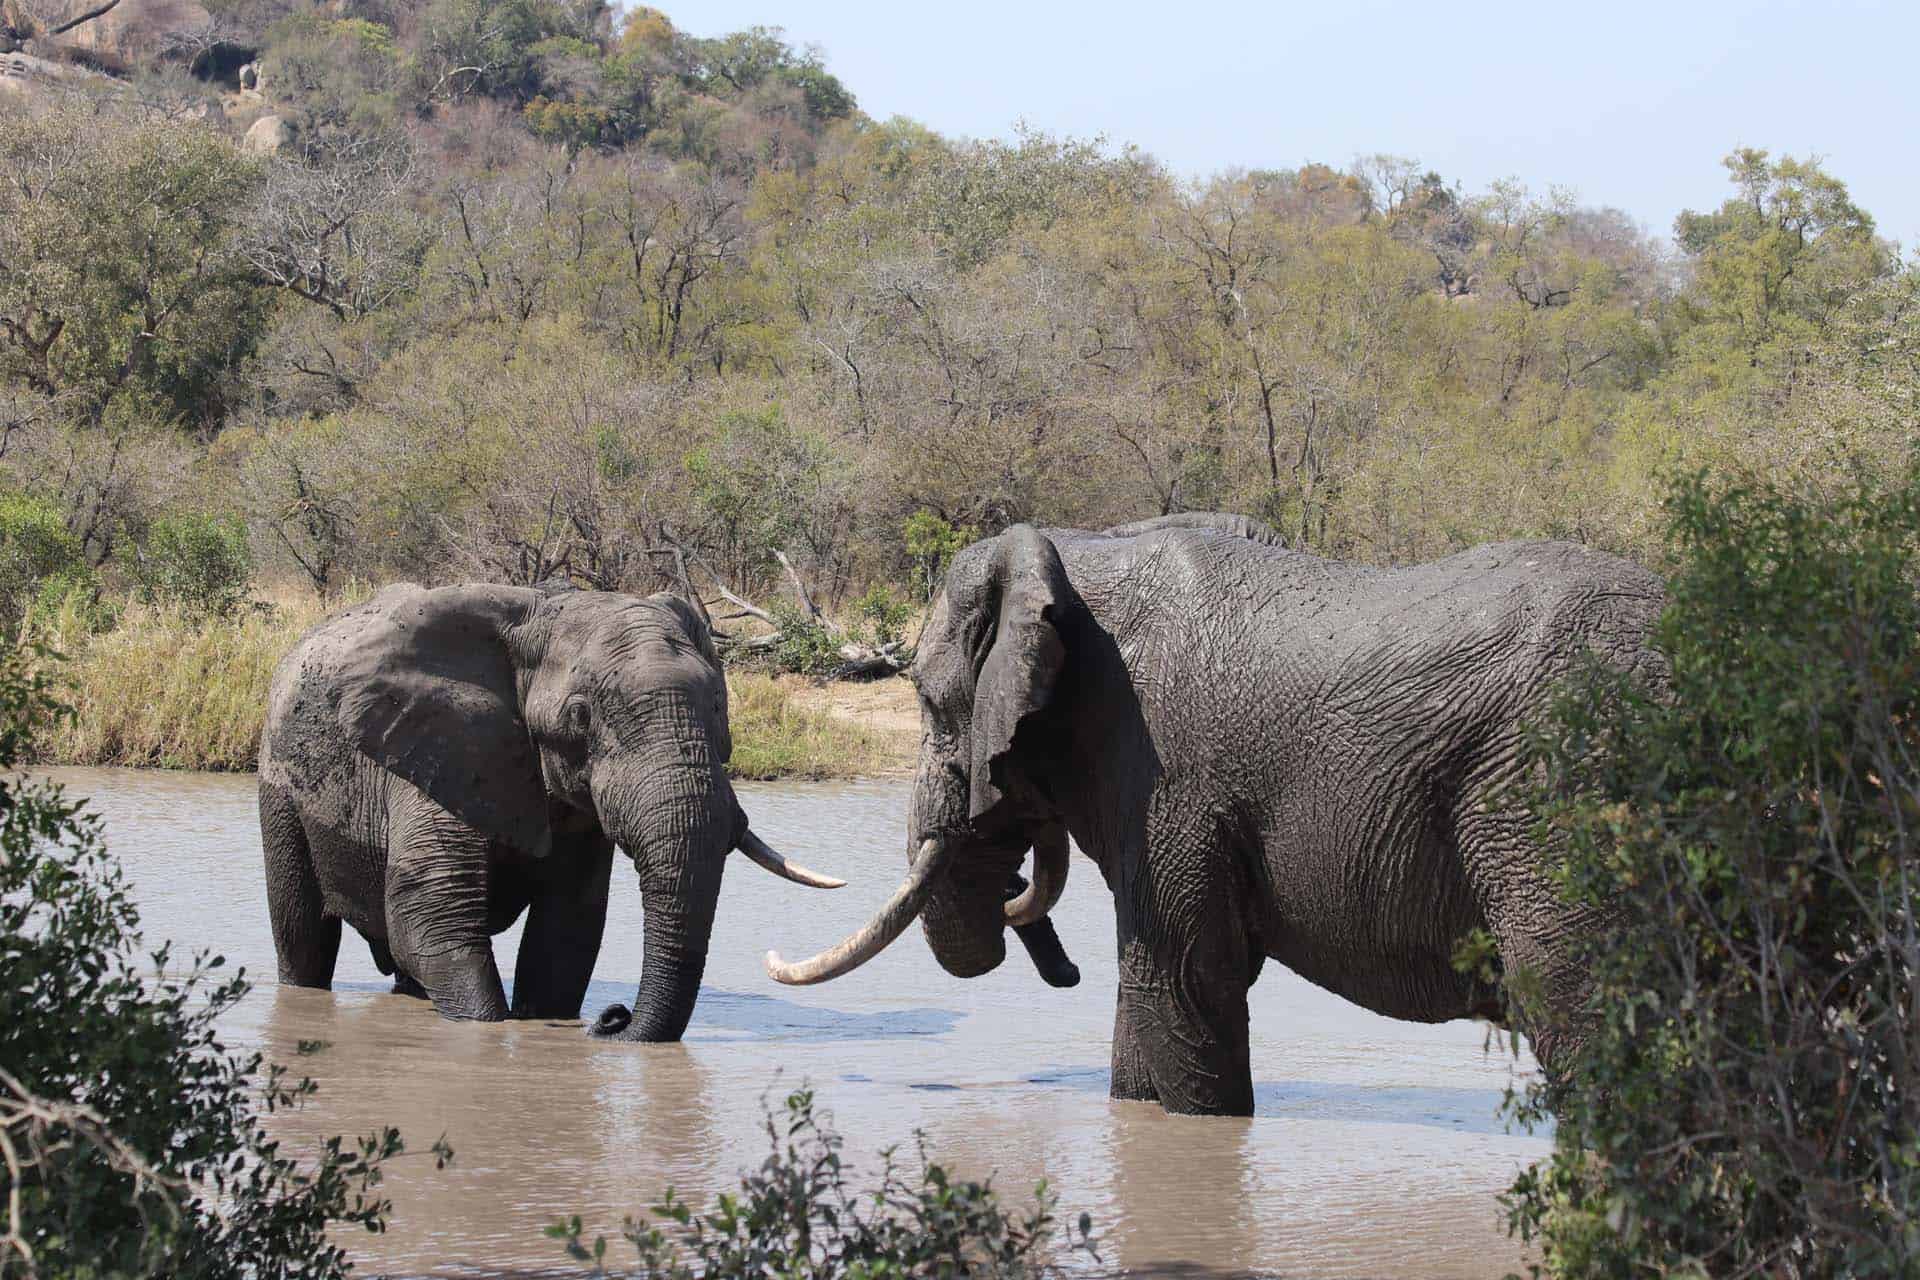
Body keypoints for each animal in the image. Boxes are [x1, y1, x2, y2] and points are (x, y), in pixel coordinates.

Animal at [257, 583, 848, 1043]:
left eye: (720, 708)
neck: (542, 609)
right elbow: (430, 916)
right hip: (278, 787)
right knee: (303, 935)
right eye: (580, 716)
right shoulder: (436, 751)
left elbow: (566, 928)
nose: (613, 1017)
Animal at [764, 514, 1666, 1113]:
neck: (1079, 552)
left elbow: (1180, 979)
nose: (1061, 967)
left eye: (923, 699)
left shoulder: (1167, 772)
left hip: (1560, 790)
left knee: (1581, 1012)